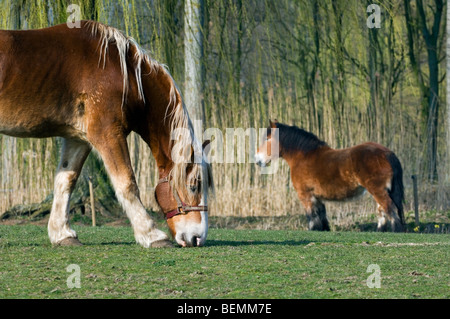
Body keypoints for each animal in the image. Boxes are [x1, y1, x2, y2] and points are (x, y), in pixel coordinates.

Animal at [0, 21, 213, 249]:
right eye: (194, 186)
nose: (197, 238)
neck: (126, 74)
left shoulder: (78, 139)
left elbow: (66, 180)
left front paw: (62, 234)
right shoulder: (107, 133)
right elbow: (126, 183)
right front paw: (152, 234)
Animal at [255, 120, 406, 232]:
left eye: (267, 138)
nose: (257, 160)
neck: (303, 156)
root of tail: (388, 153)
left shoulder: (306, 195)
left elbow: (312, 217)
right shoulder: (317, 197)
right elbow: (321, 216)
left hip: (378, 191)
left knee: (390, 209)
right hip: (381, 191)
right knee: (382, 211)